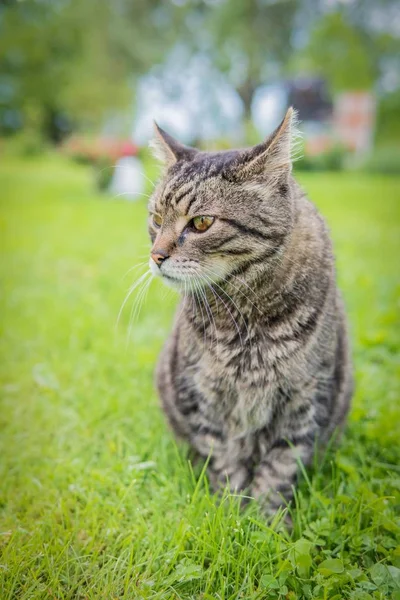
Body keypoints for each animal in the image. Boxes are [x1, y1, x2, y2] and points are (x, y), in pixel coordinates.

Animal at [147, 109, 354, 516]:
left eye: (201, 222)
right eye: (156, 219)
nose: (156, 256)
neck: (245, 315)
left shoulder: (306, 400)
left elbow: (279, 469)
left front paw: (266, 522)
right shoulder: (204, 397)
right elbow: (222, 460)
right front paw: (230, 515)